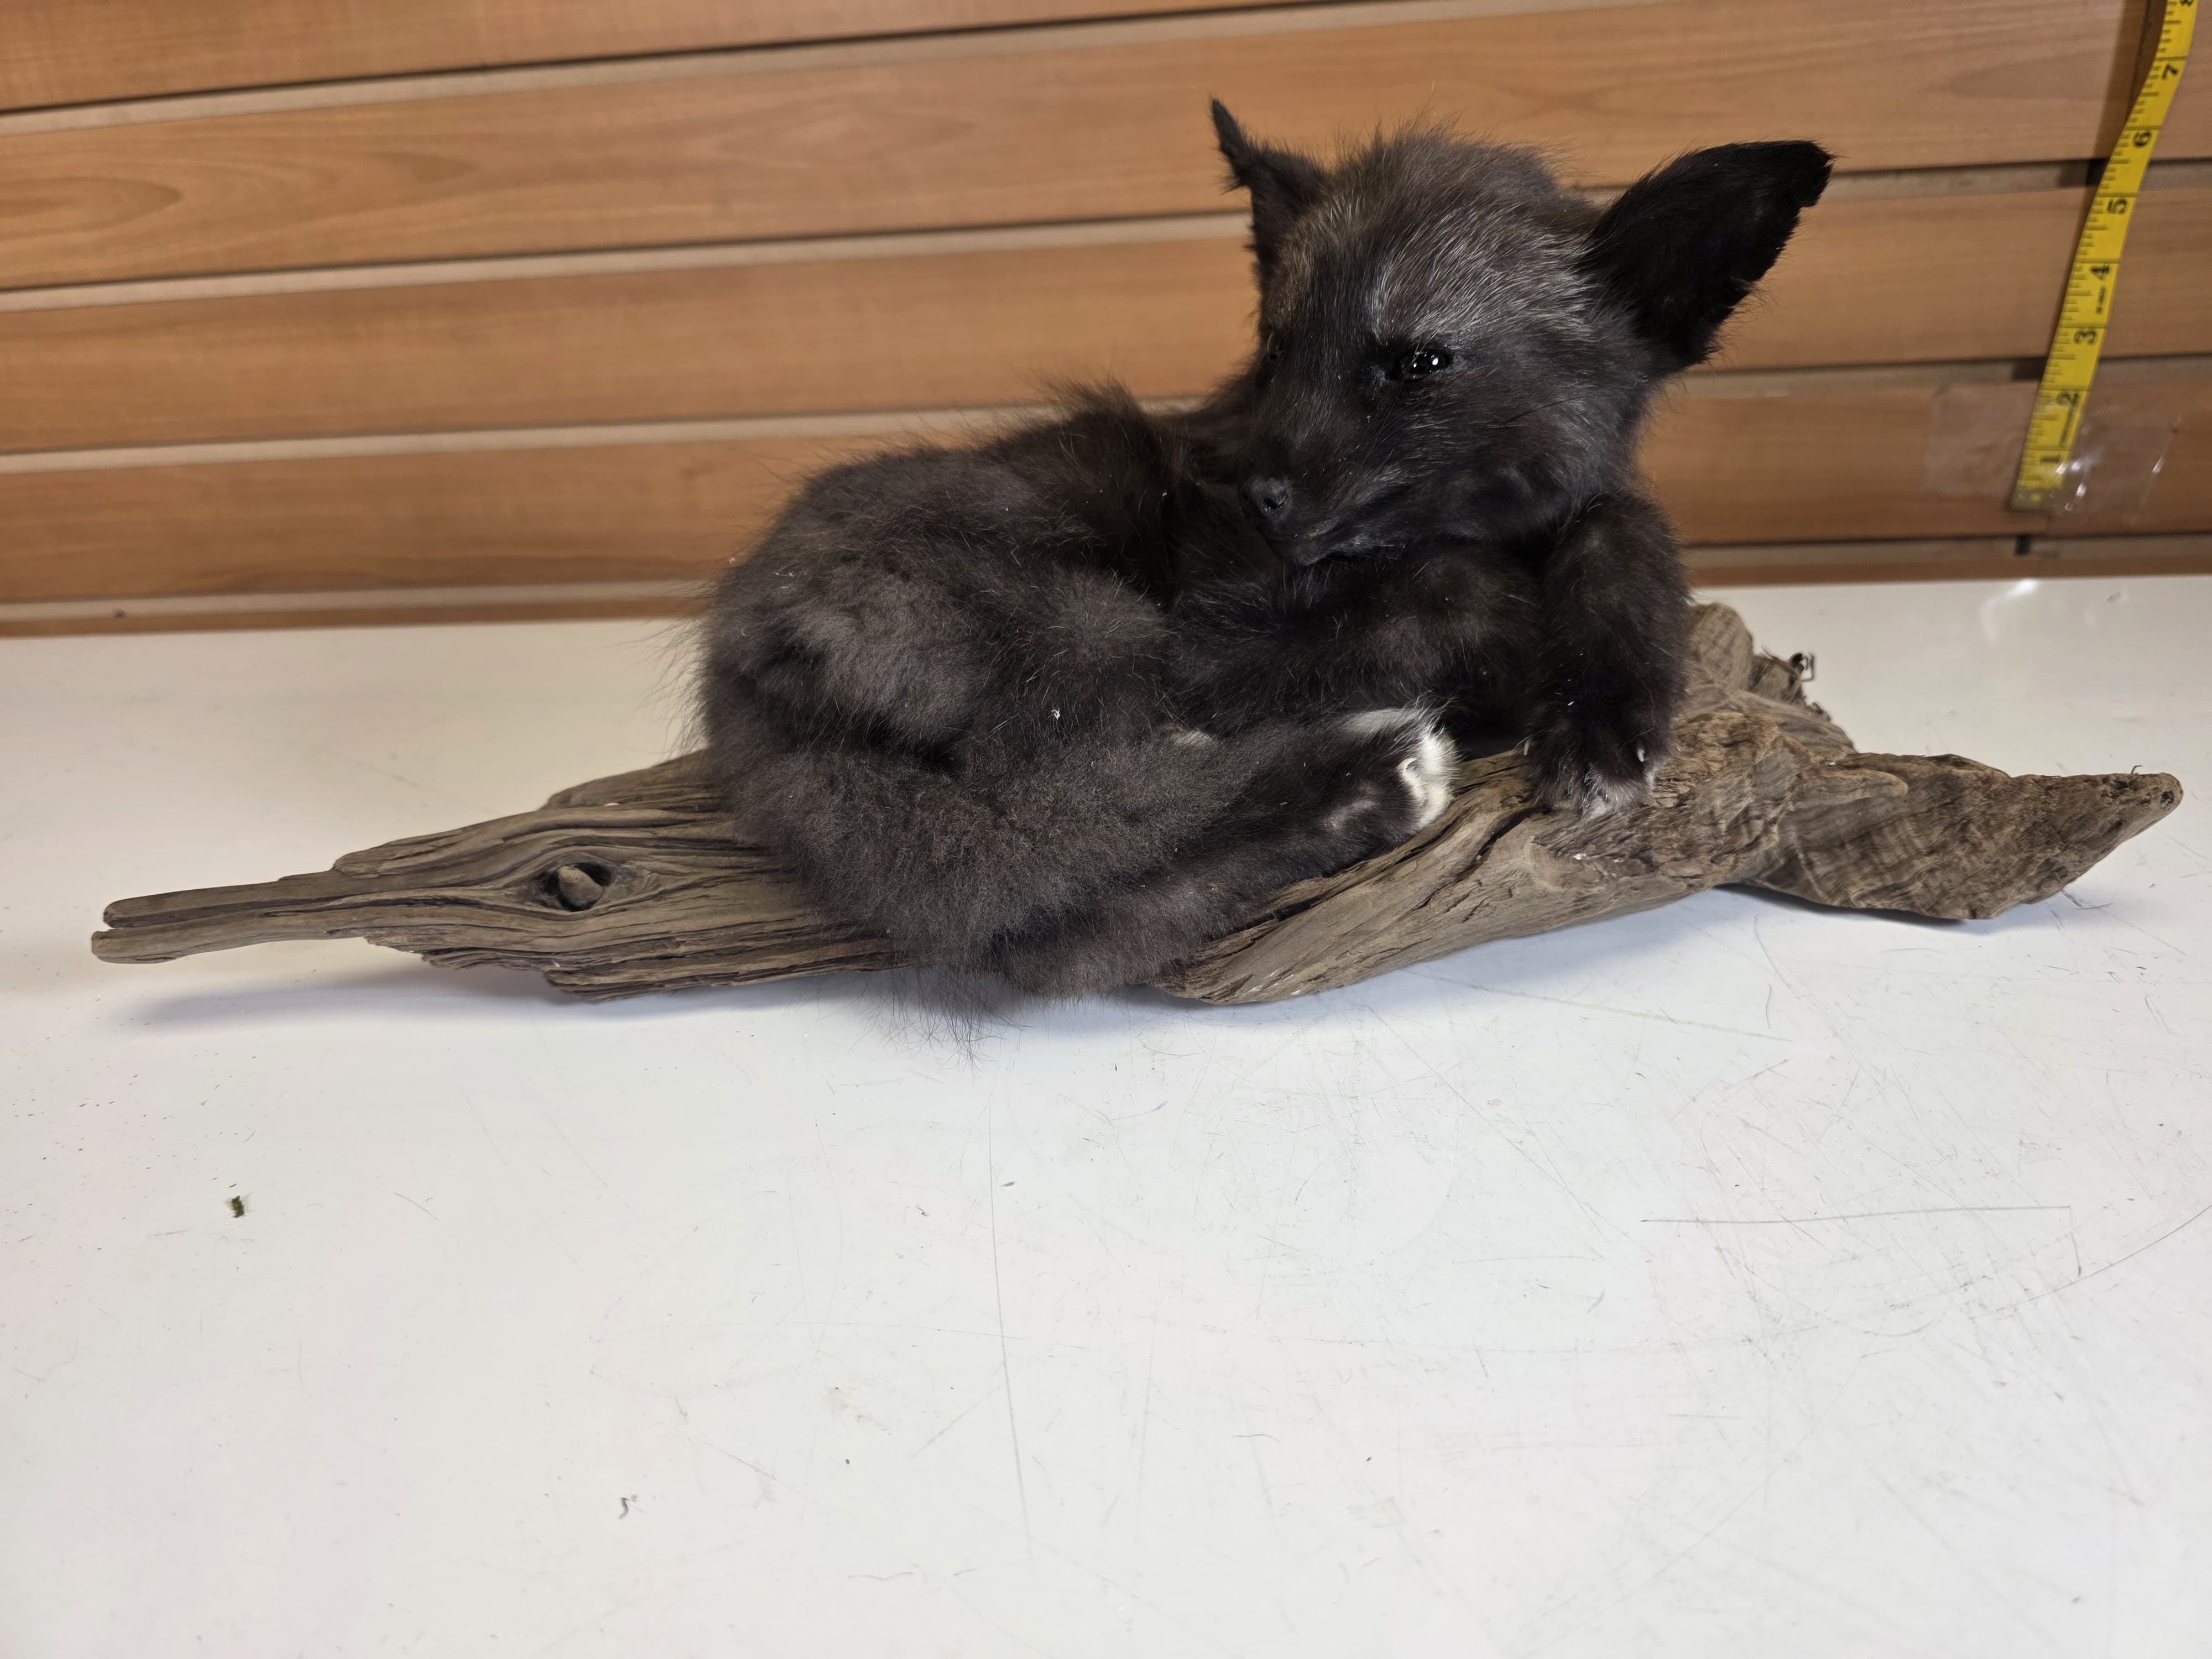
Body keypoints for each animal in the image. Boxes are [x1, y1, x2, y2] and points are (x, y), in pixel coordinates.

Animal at [699, 104, 1831, 995]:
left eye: (1418, 363)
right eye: (1281, 347)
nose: (1259, 496)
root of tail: (734, 655)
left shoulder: (1579, 508)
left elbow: (1621, 525)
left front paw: (1605, 712)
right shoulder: (1217, 632)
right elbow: (1462, 587)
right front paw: (1525, 666)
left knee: (1045, 930)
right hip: (1096, 621)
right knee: (1063, 819)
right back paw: (1369, 771)